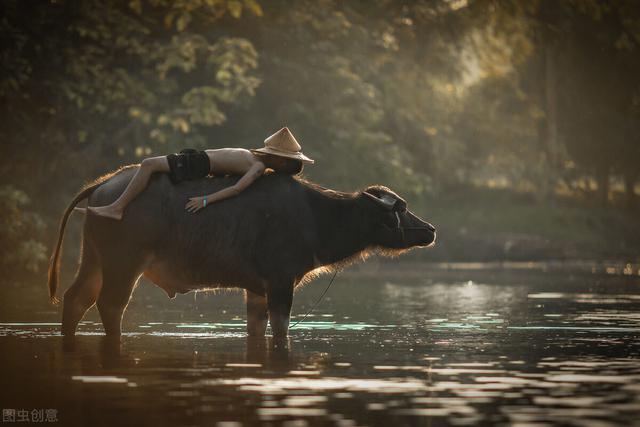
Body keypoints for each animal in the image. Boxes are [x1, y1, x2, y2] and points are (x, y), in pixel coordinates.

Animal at [48, 167, 436, 338]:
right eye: (401, 208)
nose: (430, 230)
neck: (316, 216)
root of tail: (103, 186)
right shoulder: (280, 281)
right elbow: (281, 328)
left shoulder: (256, 288)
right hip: (124, 263)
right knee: (111, 305)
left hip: (93, 260)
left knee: (76, 299)